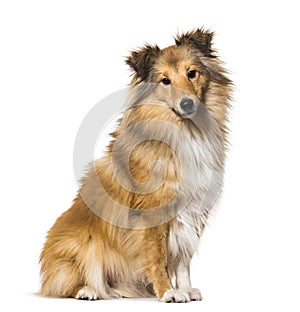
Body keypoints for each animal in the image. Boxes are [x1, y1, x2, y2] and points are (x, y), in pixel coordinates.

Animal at [39, 27, 232, 302]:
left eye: (192, 73)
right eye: (165, 80)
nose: (187, 104)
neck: (185, 132)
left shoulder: (194, 209)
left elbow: (183, 258)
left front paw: (184, 288)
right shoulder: (153, 213)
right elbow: (158, 257)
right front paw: (168, 292)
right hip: (83, 242)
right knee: (67, 283)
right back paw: (88, 291)